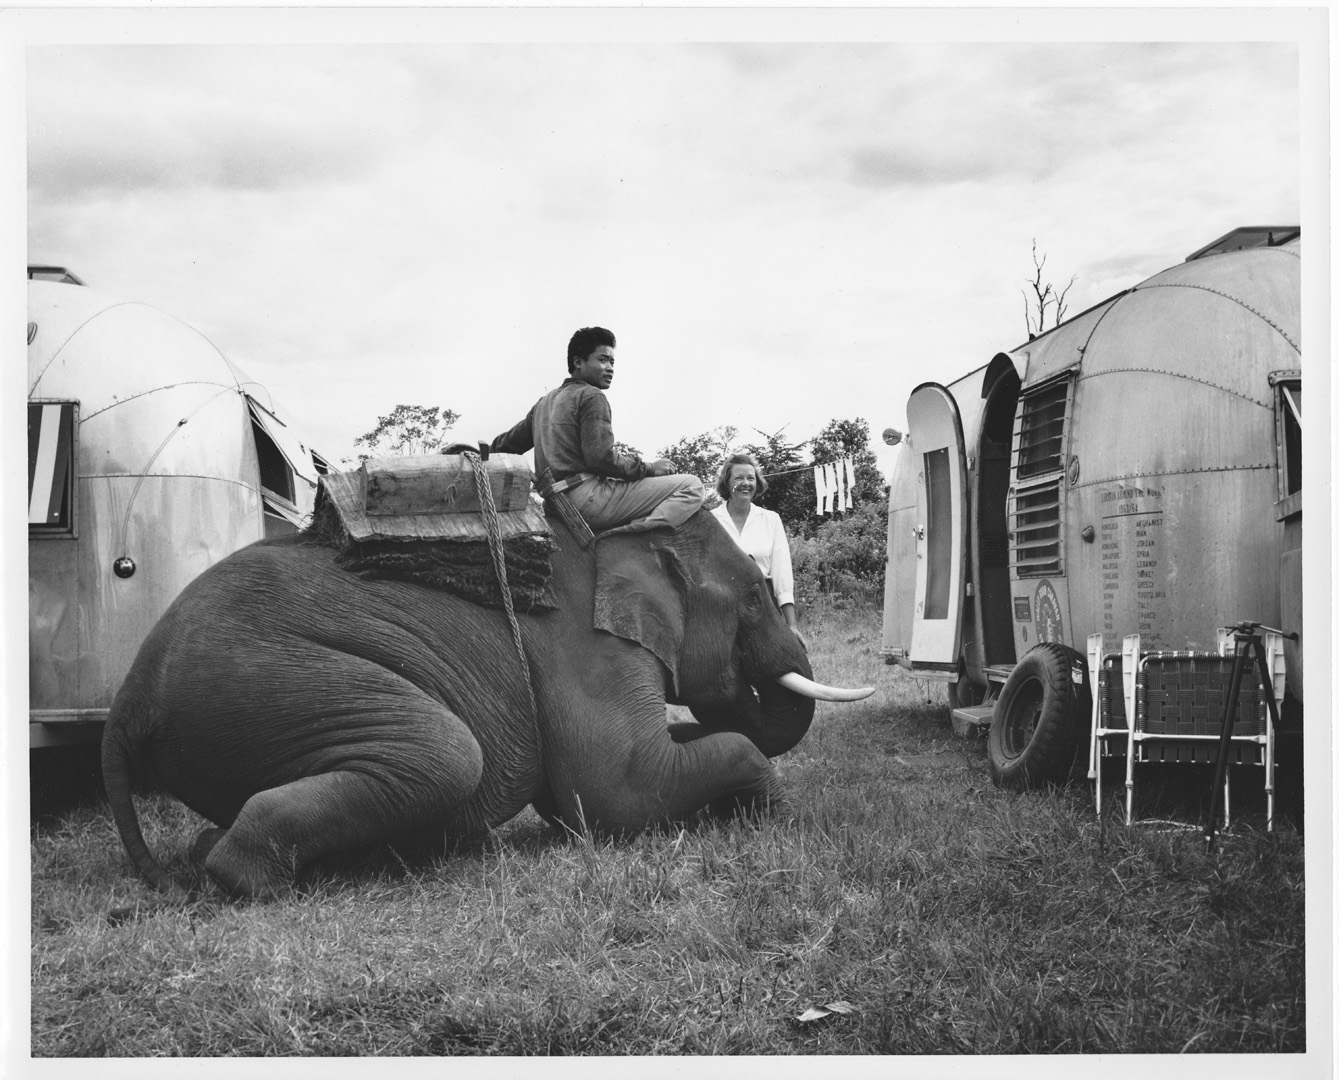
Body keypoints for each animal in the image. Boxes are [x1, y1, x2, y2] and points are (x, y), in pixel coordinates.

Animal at [101, 506, 872, 899]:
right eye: (755, 595)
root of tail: (128, 696)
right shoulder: (580, 642)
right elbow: (616, 790)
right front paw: (770, 813)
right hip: (265, 682)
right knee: (445, 756)